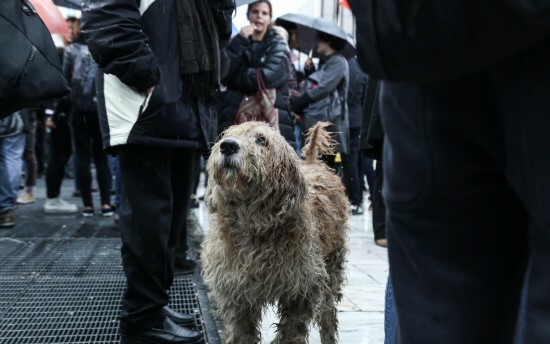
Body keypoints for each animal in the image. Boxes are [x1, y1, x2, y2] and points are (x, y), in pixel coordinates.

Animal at [203, 122, 350, 342]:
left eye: (261, 140)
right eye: (227, 135)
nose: (227, 146)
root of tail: (313, 163)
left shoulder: (301, 290)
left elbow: (291, 332)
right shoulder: (237, 295)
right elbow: (242, 333)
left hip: (332, 268)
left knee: (328, 315)